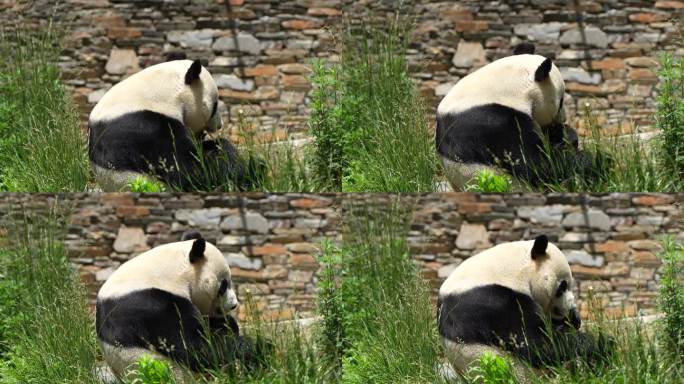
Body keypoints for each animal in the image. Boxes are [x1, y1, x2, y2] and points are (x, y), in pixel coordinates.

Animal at [97, 231, 264, 380]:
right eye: (224, 285)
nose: (233, 305)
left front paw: (228, 324)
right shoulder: (151, 306)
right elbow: (196, 348)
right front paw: (247, 344)